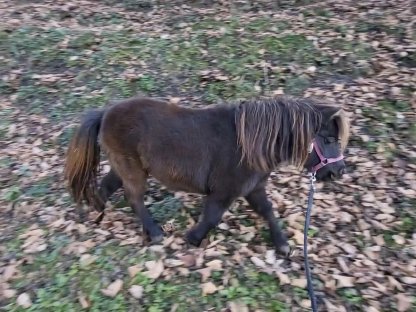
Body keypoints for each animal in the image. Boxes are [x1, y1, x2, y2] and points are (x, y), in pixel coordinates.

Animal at [63, 95, 350, 256]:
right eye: (328, 139)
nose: (337, 172)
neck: (250, 144)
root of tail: (105, 113)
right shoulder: (224, 192)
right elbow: (212, 217)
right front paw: (193, 238)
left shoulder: (253, 189)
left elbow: (268, 211)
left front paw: (282, 245)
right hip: (132, 169)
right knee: (134, 198)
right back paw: (154, 232)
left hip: (124, 167)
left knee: (106, 187)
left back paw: (95, 213)